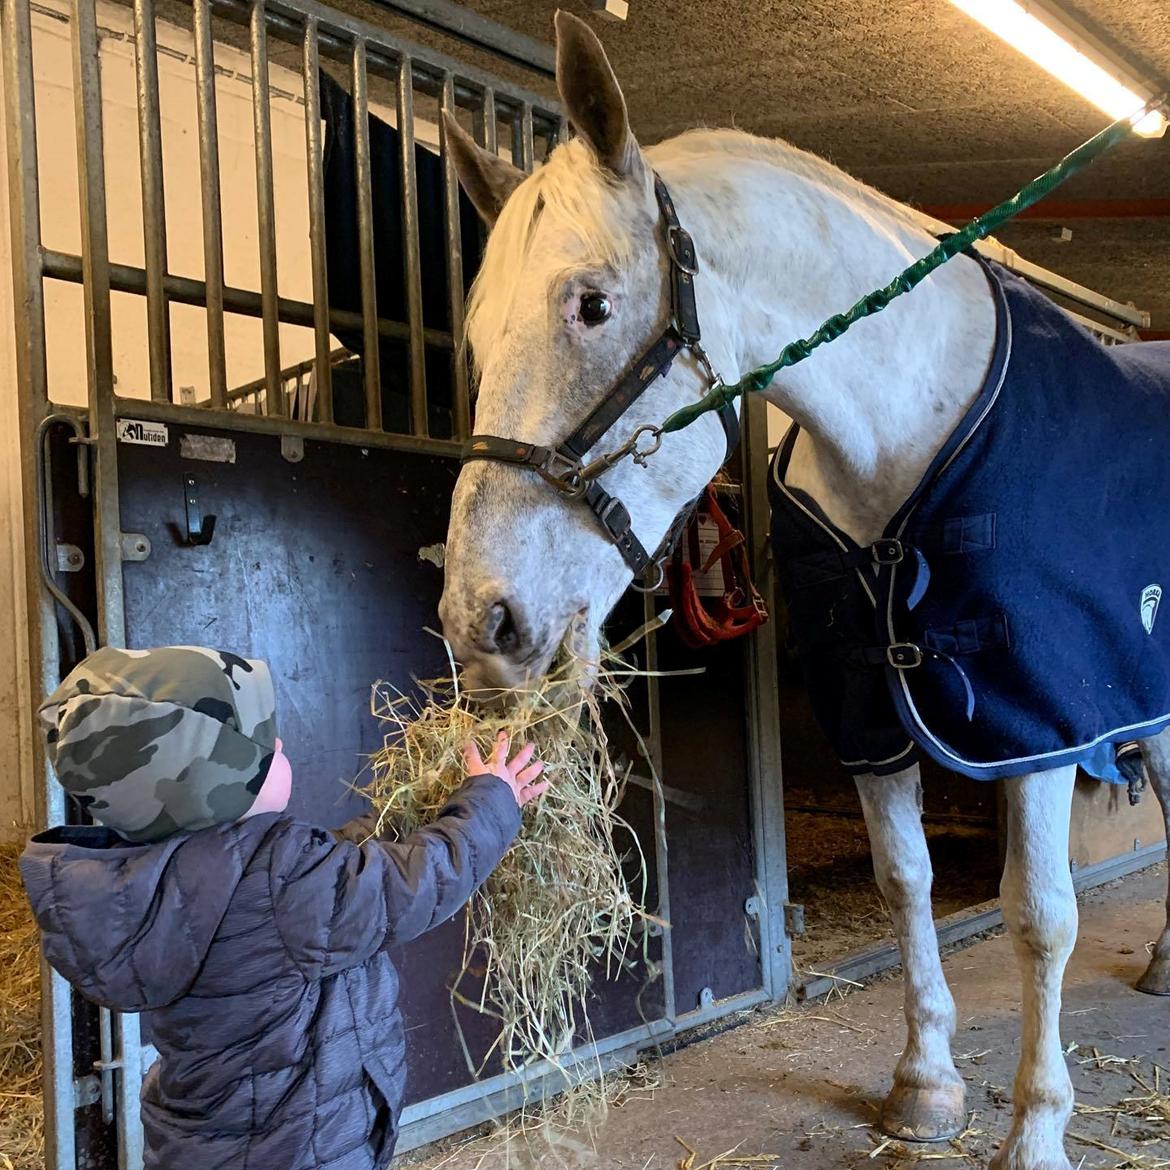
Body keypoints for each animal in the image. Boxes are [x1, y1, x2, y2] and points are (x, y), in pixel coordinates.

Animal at [439, 11, 1170, 1170]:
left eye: (591, 304)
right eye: (472, 336)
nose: (484, 623)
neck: (900, 439)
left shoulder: (1039, 720)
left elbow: (1039, 915)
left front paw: (1037, 1129)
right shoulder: (868, 708)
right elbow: (905, 883)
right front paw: (924, 1088)